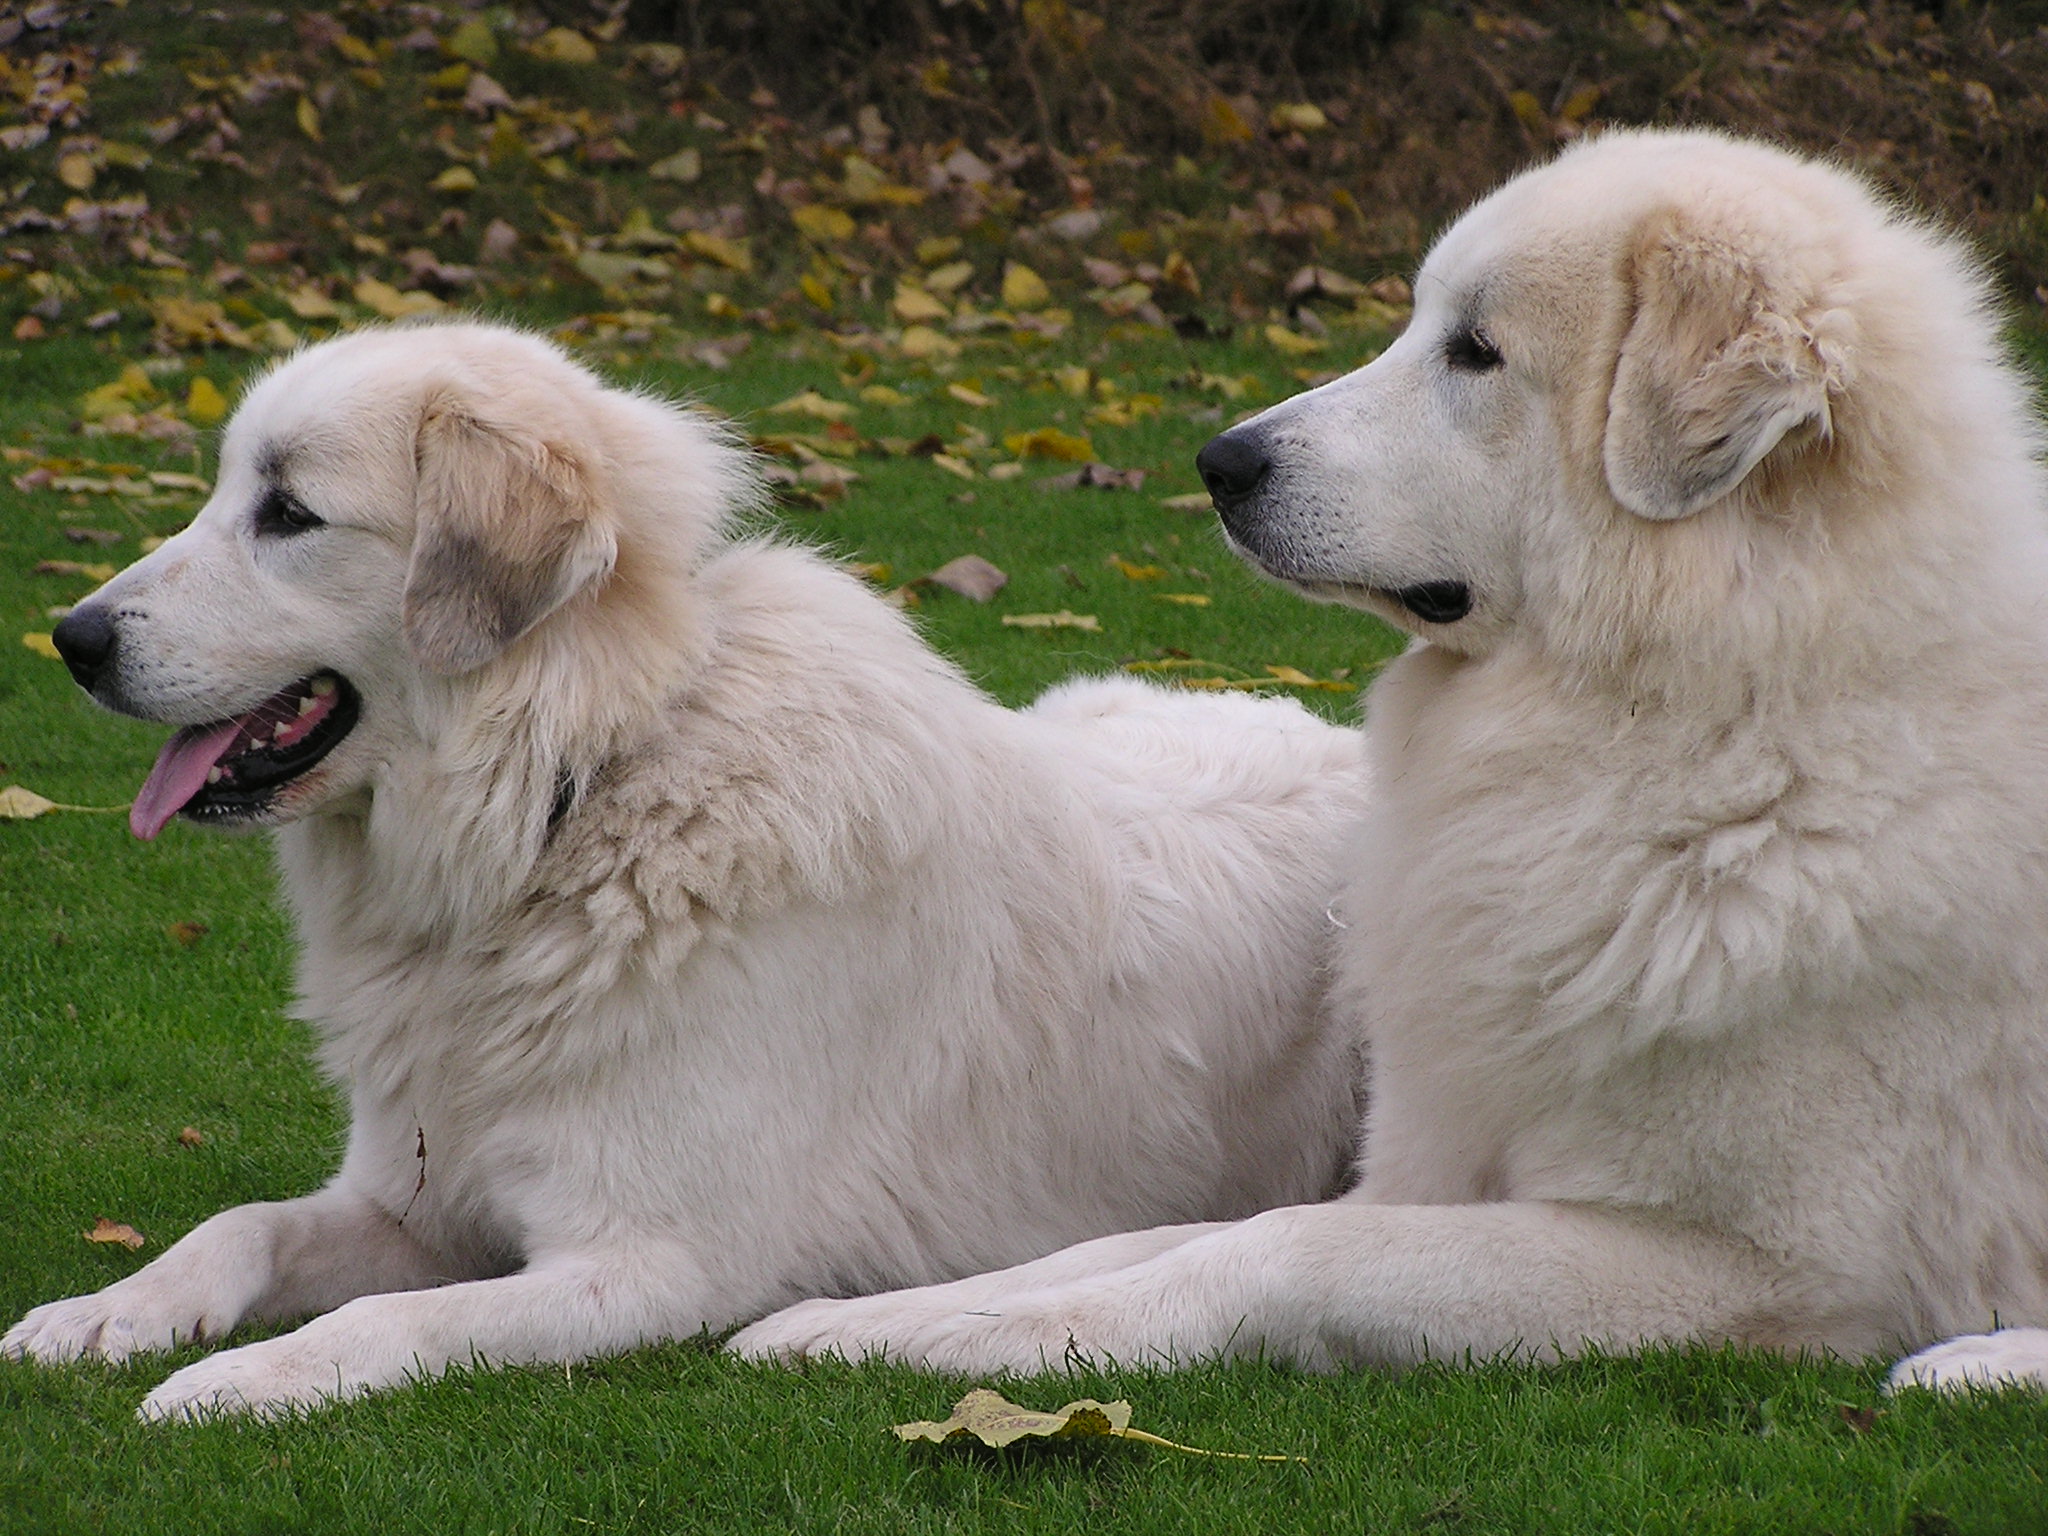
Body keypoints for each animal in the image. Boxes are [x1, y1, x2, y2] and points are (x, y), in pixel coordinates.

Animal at [8, 321, 1376, 1417]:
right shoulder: (415, 1202)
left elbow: (385, 1318)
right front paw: (111, 1312)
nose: (72, 639)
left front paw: (240, 1378)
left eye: (287, 514)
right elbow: (235, 1226)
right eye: (226, 493)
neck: (577, 794)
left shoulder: (644, 1266)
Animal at [733, 126, 2048, 1392]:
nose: (1219, 463)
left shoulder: (1763, 1266)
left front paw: (993, 1342)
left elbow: (1282, 1246)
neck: (1722, 709)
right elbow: (1143, 1236)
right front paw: (869, 1320)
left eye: (1474, 353)